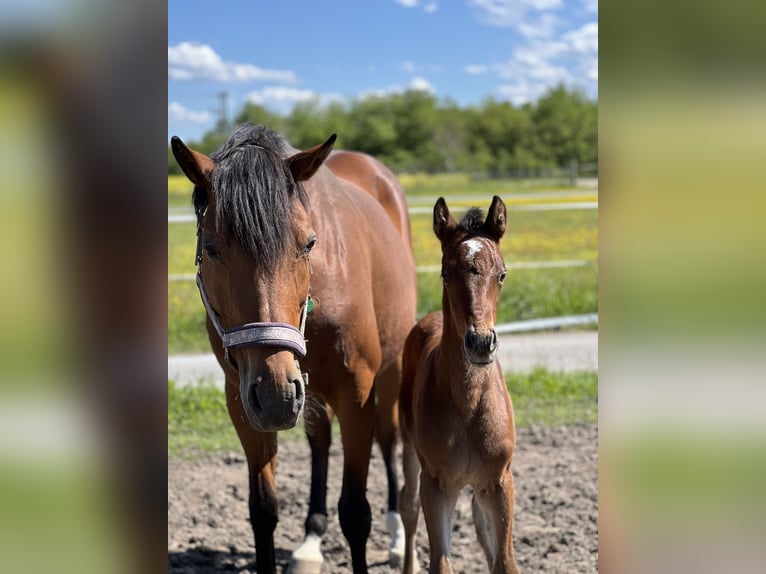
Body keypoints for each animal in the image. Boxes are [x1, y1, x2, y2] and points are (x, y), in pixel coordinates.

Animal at [171, 126, 416, 574]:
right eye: (211, 248)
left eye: (309, 243)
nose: (274, 394)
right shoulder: (242, 398)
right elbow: (263, 509)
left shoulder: (357, 392)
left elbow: (356, 512)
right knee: (320, 441)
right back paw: (311, 542)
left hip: (388, 370)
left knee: (389, 438)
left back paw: (395, 533)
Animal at [396, 198, 520, 574]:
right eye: (446, 273)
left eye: (502, 274)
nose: (480, 343)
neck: (468, 403)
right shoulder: (438, 485)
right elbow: (440, 561)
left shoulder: (499, 481)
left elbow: (505, 561)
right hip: (410, 448)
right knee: (407, 504)